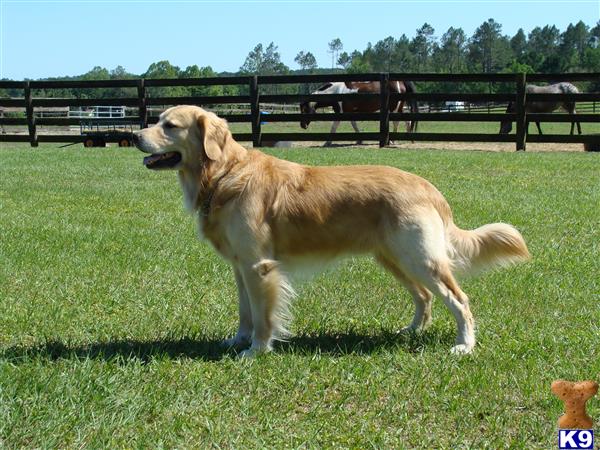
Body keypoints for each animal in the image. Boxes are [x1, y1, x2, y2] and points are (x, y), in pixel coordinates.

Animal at [132, 103, 528, 356]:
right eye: (157, 120)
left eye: (170, 125)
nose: (134, 136)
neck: (223, 174)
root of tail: (429, 187)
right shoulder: (240, 266)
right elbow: (245, 312)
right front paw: (238, 341)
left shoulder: (259, 266)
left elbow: (263, 316)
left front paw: (257, 350)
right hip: (396, 260)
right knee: (424, 297)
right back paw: (412, 331)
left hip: (420, 259)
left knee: (459, 300)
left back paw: (464, 345)